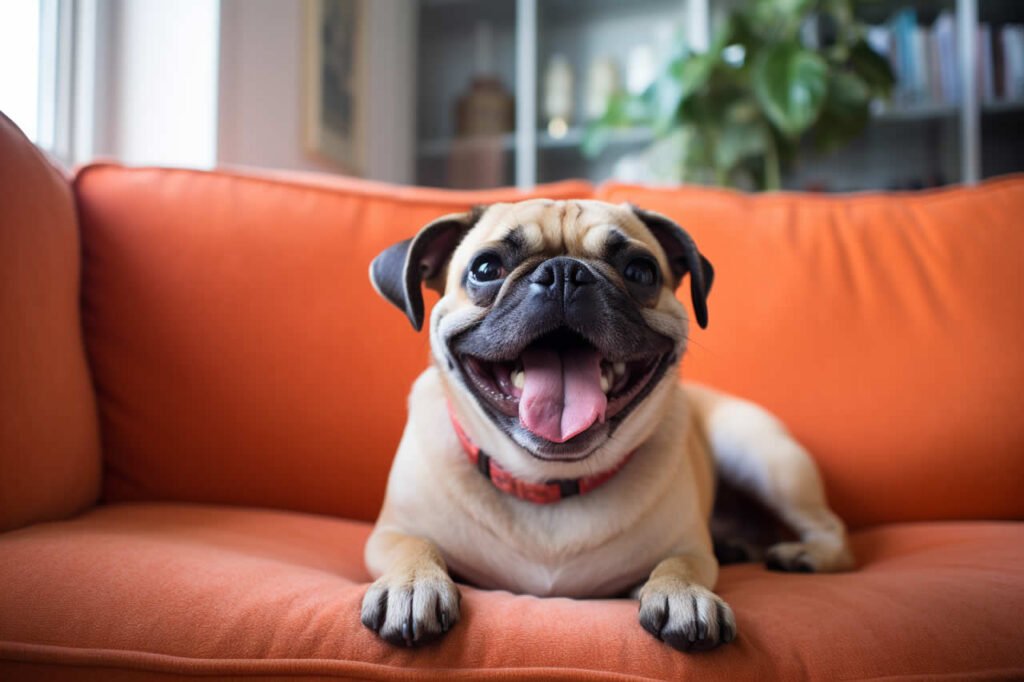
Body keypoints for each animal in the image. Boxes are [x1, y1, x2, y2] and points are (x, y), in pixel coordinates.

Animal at [362, 199, 856, 651]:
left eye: (641, 271)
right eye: (485, 268)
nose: (564, 273)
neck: (550, 483)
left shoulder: (689, 548)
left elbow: (679, 563)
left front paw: (684, 594)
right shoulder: (388, 534)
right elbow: (412, 546)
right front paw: (412, 584)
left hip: (766, 459)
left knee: (835, 533)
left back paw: (804, 555)